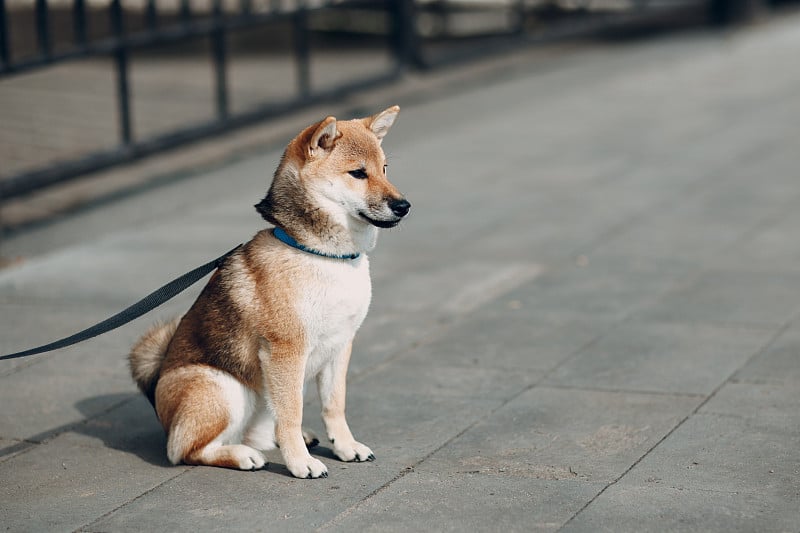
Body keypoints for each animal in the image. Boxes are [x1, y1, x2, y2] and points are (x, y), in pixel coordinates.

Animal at [130, 105, 412, 478]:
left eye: (384, 169)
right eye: (358, 173)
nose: (404, 205)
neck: (322, 255)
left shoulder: (341, 345)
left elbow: (334, 406)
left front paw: (346, 447)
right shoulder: (286, 351)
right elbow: (291, 414)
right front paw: (300, 464)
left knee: (256, 432)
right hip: (223, 388)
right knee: (185, 450)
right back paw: (241, 455)